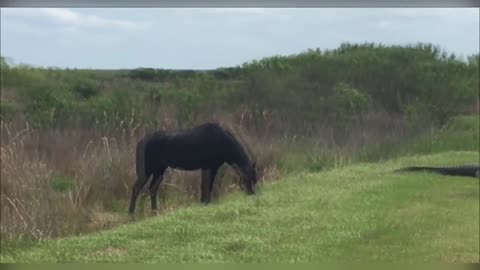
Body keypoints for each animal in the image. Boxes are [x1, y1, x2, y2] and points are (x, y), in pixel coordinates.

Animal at [128, 123, 258, 215]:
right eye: (248, 178)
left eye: (255, 179)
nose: (252, 193)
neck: (227, 150)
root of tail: (141, 142)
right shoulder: (207, 166)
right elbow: (205, 187)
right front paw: (204, 203)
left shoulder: (214, 166)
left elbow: (208, 187)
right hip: (148, 168)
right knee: (136, 188)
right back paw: (131, 213)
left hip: (160, 169)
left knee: (152, 188)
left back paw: (155, 211)